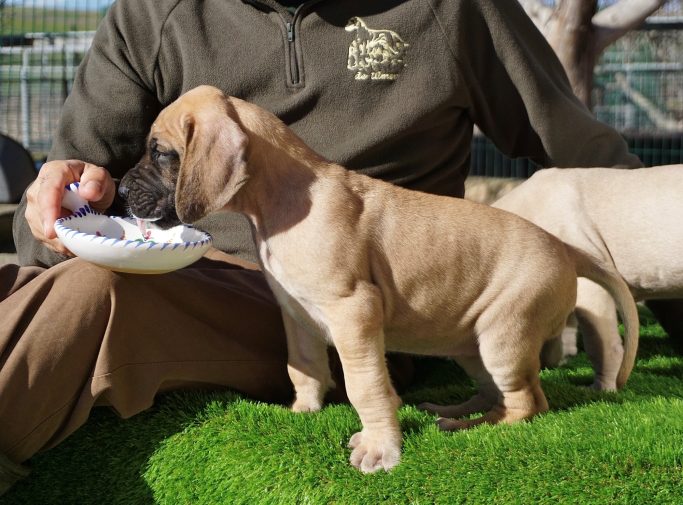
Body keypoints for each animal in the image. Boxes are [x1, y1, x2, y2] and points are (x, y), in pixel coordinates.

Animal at [119, 85, 640, 472]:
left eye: (160, 153)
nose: (121, 189)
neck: (281, 200)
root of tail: (563, 248)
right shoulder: (297, 314)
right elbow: (304, 368)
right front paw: (303, 412)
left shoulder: (354, 312)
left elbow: (364, 385)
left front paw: (379, 448)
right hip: (471, 343)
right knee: (495, 391)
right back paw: (453, 412)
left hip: (503, 338)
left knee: (528, 403)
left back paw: (471, 428)